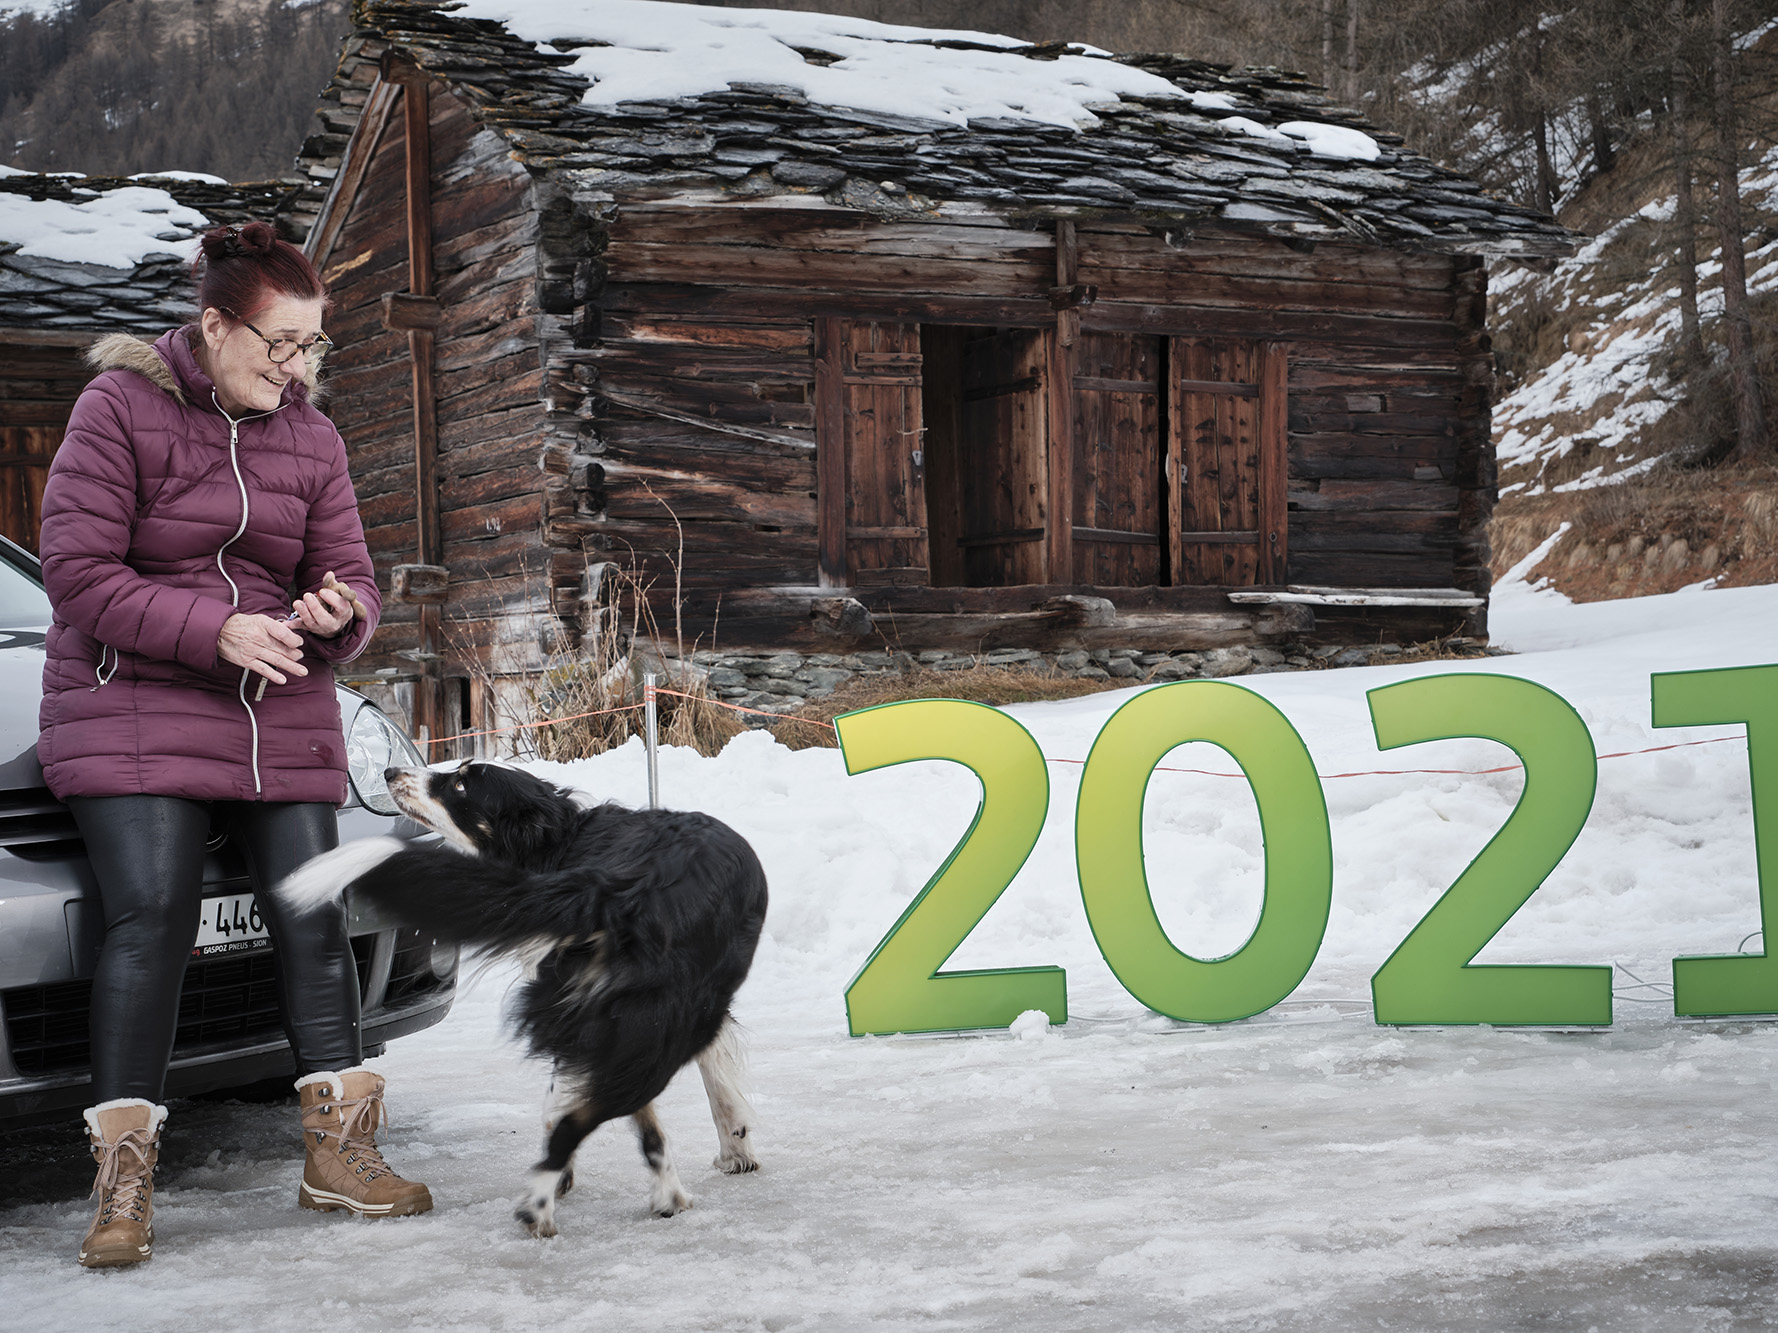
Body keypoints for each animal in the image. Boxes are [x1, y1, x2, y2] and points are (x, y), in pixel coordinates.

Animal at [280, 760, 768, 1244]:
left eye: (461, 784)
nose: (390, 771)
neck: (559, 839)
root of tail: (618, 890)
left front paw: (735, 1144)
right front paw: (736, 1143)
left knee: (594, 1116)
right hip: (644, 1030)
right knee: (604, 1119)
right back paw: (595, 1199)